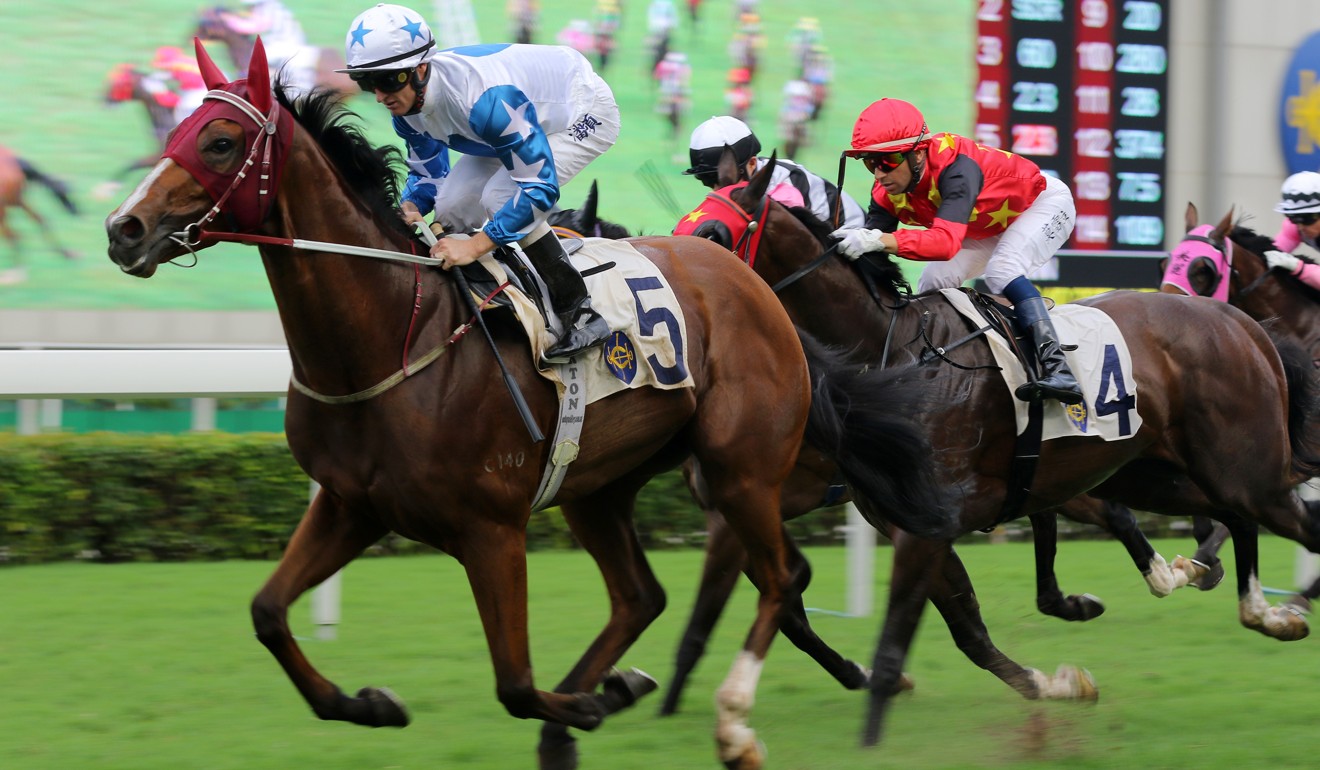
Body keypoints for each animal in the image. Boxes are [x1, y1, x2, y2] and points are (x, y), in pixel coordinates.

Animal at [681, 153, 1320, 750]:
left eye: (712, 235)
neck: (887, 355)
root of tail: (1241, 321)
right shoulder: (898, 518)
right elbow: (967, 629)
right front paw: (1058, 683)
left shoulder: (932, 520)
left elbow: (898, 640)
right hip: (1158, 473)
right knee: (1230, 517)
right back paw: (1254, 606)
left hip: (1243, 469)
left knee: (1285, 519)